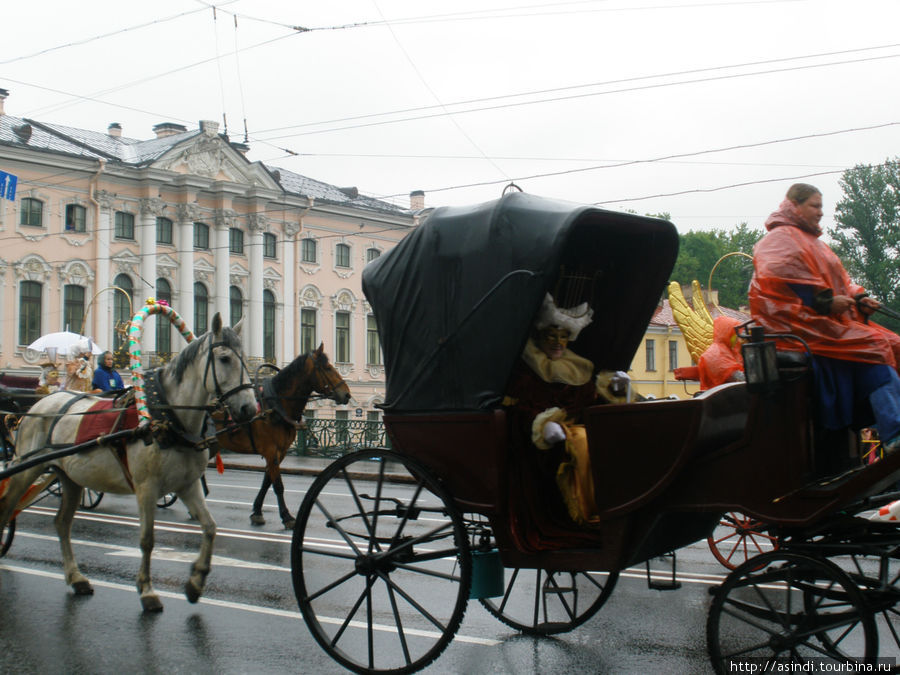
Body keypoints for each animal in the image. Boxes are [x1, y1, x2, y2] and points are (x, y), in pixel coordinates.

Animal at [0, 314, 256, 616]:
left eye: (245, 357)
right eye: (225, 358)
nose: (249, 409)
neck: (169, 418)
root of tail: (40, 404)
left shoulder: (188, 485)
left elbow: (210, 528)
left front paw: (195, 583)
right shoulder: (146, 488)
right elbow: (147, 539)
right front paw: (147, 591)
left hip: (70, 478)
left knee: (62, 524)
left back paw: (77, 578)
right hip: (26, 469)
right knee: (7, 509)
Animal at [214, 346, 352, 532]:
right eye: (328, 368)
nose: (347, 394)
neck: (275, 405)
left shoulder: (280, 452)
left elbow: (267, 481)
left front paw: (257, 512)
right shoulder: (271, 451)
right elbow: (278, 485)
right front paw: (287, 517)